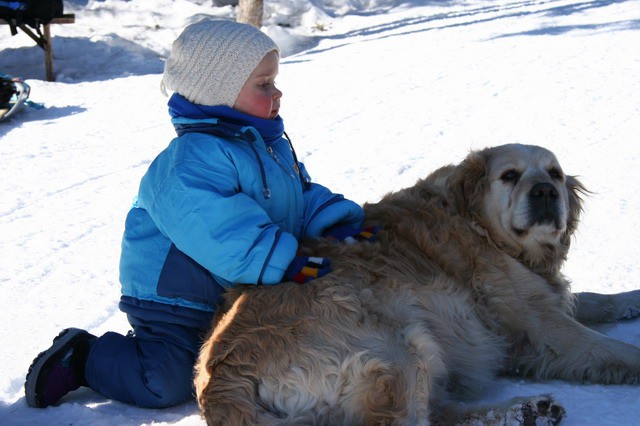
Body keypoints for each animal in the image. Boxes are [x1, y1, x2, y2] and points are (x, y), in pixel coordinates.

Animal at [194, 145, 640, 424]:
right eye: (509, 176)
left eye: (555, 174)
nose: (547, 192)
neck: (477, 224)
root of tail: (219, 377)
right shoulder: (539, 324)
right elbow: (610, 348)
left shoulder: (543, 300)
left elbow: (591, 299)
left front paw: (630, 298)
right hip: (395, 351)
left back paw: (528, 412)